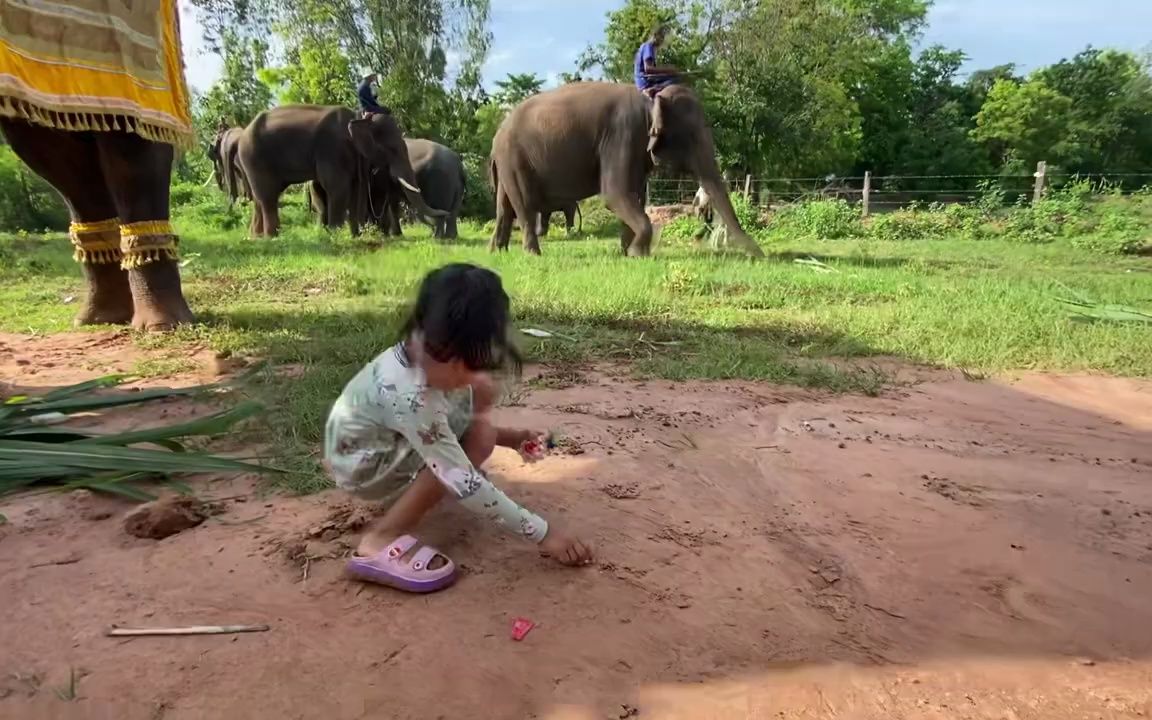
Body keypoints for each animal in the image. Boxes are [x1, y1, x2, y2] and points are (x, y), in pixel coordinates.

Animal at [238, 105, 444, 237]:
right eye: (392, 149)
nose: (445, 213)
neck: (359, 116)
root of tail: (244, 130)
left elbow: (354, 188)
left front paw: (355, 236)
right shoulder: (332, 149)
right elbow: (339, 188)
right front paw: (336, 234)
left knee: (262, 197)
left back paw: (256, 236)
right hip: (254, 155)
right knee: (267, 196)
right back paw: (272, 236)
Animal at [488, 82, 764, 256]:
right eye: (693, 136)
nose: (759, 256)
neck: (651, 101)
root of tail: (497, 134)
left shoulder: (634, 148)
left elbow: (634, 195)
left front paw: (628, 252)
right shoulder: (622, 135)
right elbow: (615, 194)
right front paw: (636, 254)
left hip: (508, 163)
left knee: (504, 207)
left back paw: (498, 251)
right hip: (515, 158)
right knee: (524, 205)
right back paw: (532, 253)